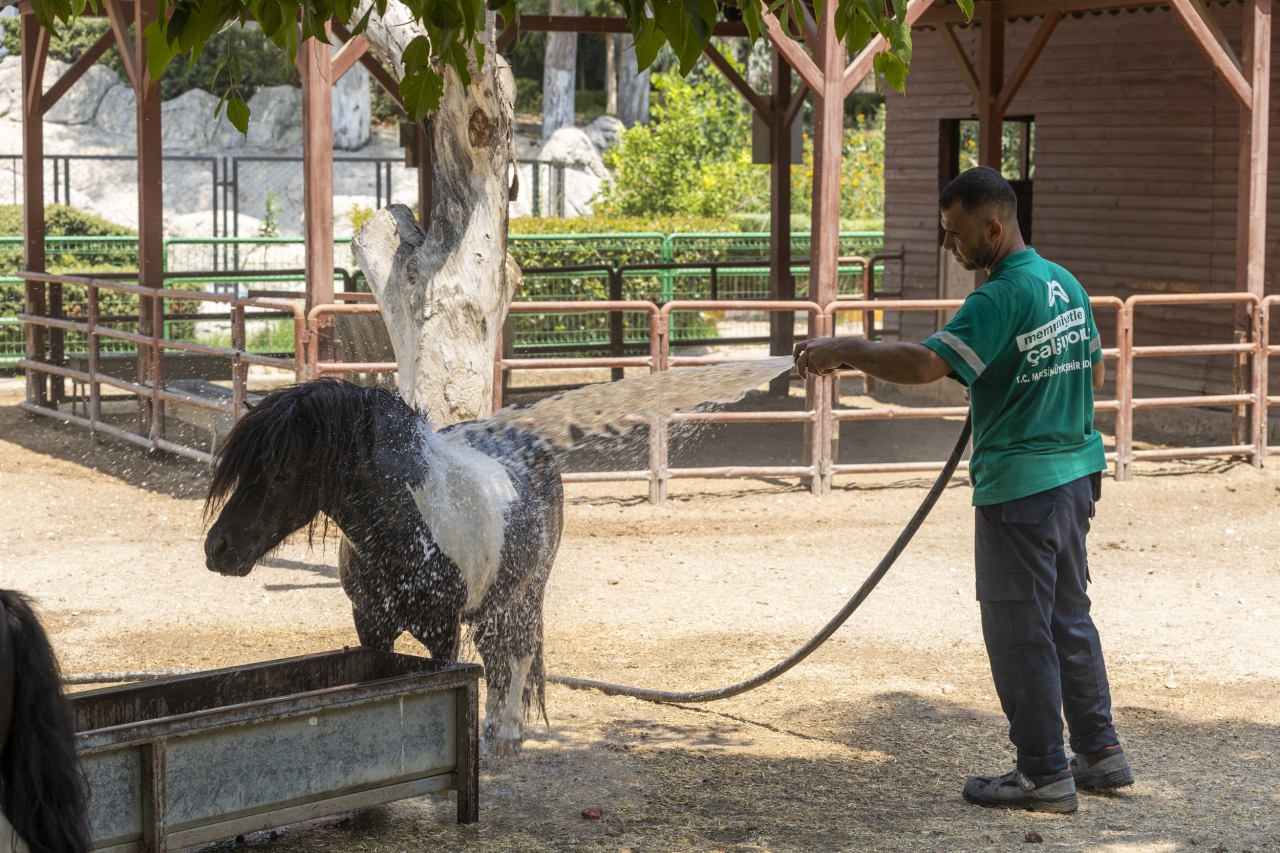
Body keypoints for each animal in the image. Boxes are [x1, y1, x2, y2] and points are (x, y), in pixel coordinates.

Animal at [206, 379, 565, 753]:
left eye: (281, 473)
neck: (407, 526)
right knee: (495, 661)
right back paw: (491, 732)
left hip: (527, 596)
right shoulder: (371, 626)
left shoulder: (443, 633)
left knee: (521, 653)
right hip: (489, 606)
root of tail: (533, 444)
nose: (217, 548)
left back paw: (509, 734)